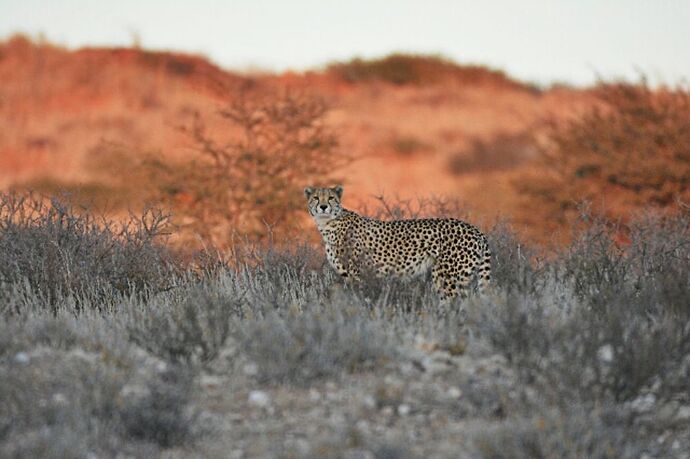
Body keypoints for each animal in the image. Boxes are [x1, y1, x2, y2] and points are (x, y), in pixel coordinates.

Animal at [302, 185, 490, 304]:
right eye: (316, 198)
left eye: (331, 198)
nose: (323, 206)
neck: (328, 223)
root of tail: (476, 230)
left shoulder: (358, 274)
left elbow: (361, 298)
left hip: (447, 277)